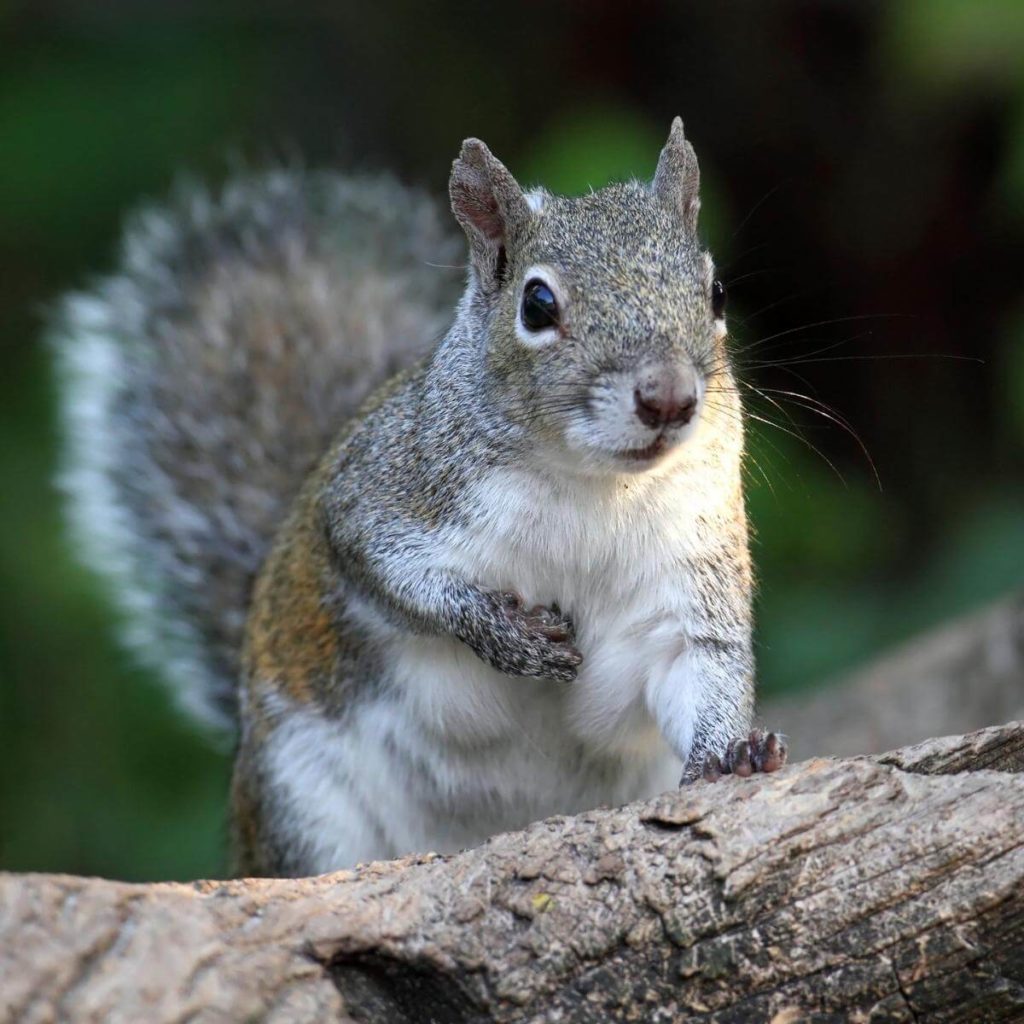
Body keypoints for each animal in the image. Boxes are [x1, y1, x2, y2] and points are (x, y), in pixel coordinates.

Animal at [54, 117, 782, 872]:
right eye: (538, 304)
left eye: (716, 293)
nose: (668, 397)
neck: (594, 485)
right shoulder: (382, 494)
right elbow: (393, 573)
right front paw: (503, 633)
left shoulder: (689, 568)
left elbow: (700, 667)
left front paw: (733, 754)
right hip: (301, 803)